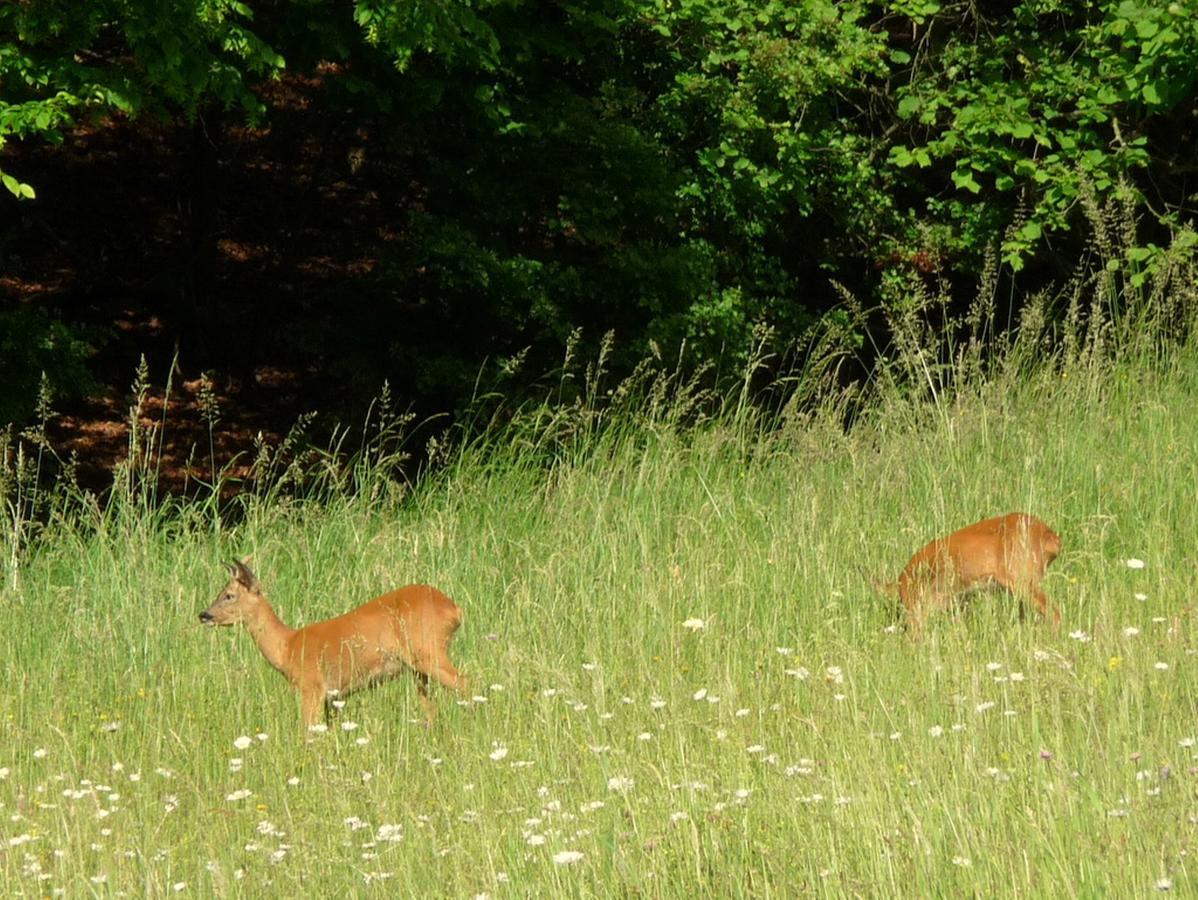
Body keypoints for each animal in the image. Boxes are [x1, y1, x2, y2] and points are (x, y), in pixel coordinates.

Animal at [201, 560, 467, 733]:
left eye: (229, 595)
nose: (204, 615)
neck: (287, 647)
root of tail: (454, 610)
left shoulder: (312, 687)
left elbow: (308, 733)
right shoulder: (333, 697)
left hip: (430, 651)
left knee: (465, 682)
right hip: (419, 667)